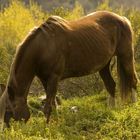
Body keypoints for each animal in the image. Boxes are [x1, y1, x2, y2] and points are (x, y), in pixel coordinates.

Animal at [0, 10, 138, 127]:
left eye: (8, 110)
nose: (7, 129)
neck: (43, 48)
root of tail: (122, 18)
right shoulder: (45, 80)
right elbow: (52, 104)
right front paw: (54, 123)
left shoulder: (53, 78)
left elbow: (48, 106)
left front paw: (47, 128)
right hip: (104, 65)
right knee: (111, 85)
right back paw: (111, 110)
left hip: (126, 56)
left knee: (133, 81)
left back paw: (133, 108)